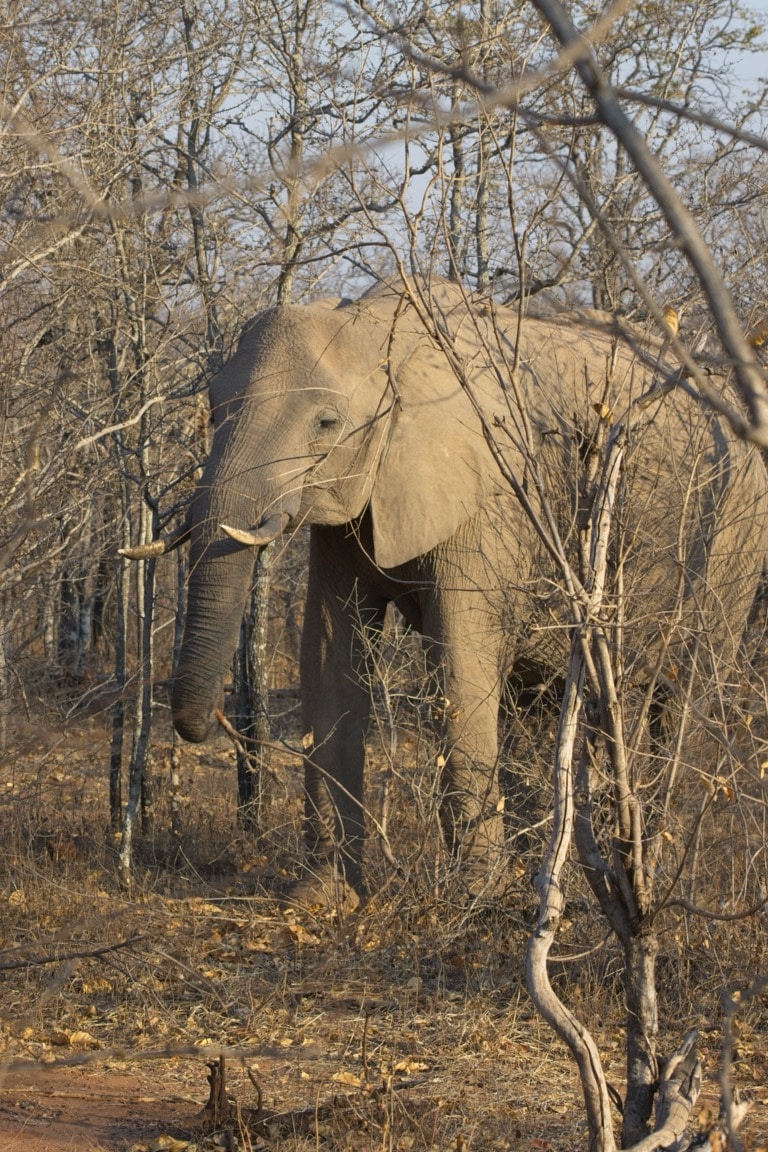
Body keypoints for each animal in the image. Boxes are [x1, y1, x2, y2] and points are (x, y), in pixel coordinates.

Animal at [161, 277, 768, 910]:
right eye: (212, 410)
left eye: (326, 423)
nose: (207, 722)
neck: (384, 334)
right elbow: (330, 659)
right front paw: (321, 898)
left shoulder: (491, 494)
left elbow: (459, 664)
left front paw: (475, 901)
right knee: (544, 704)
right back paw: (551, 872)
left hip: (730, 540)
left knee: (679, 697)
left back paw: (648, 867)